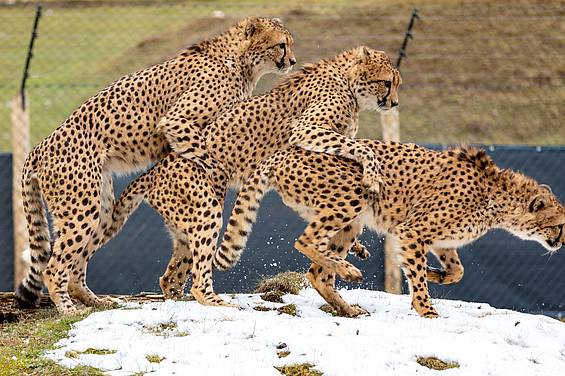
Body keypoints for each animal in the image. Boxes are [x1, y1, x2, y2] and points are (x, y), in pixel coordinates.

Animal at [16, 16, 296, 314]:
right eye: (281, 44)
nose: (292, 60)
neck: (241, 62)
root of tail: (40, 146)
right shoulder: (176, 121)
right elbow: (209, 157)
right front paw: (218, 177)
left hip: (100, 207)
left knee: (77, 261)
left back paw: (96, 301)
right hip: (81, 208)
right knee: (53, 266)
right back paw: (69, 309)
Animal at [94, 47, 398, 306]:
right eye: (386, 82)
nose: (394, 102)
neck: (347, 82)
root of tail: (155, 169)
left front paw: (356, 245)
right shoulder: (307, 130)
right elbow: (358, 150)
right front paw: (373, 176)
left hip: (183, 229)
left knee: (171, 276)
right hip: (206, 210)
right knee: (198, 275)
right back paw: (214, 301)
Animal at [217, 142, 564, 318]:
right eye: (559, 224)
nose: (561, 242)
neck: (498, 199)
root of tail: (283, 151)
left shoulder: (442, 242)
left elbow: (457, 271)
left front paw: (435, 275)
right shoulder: (412, 231)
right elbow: (422, 278)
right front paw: (427, 310)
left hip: (350, 221)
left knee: (317, 273)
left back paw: (347, 306)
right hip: (351, 197)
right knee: (304, 241)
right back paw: (350, 271)